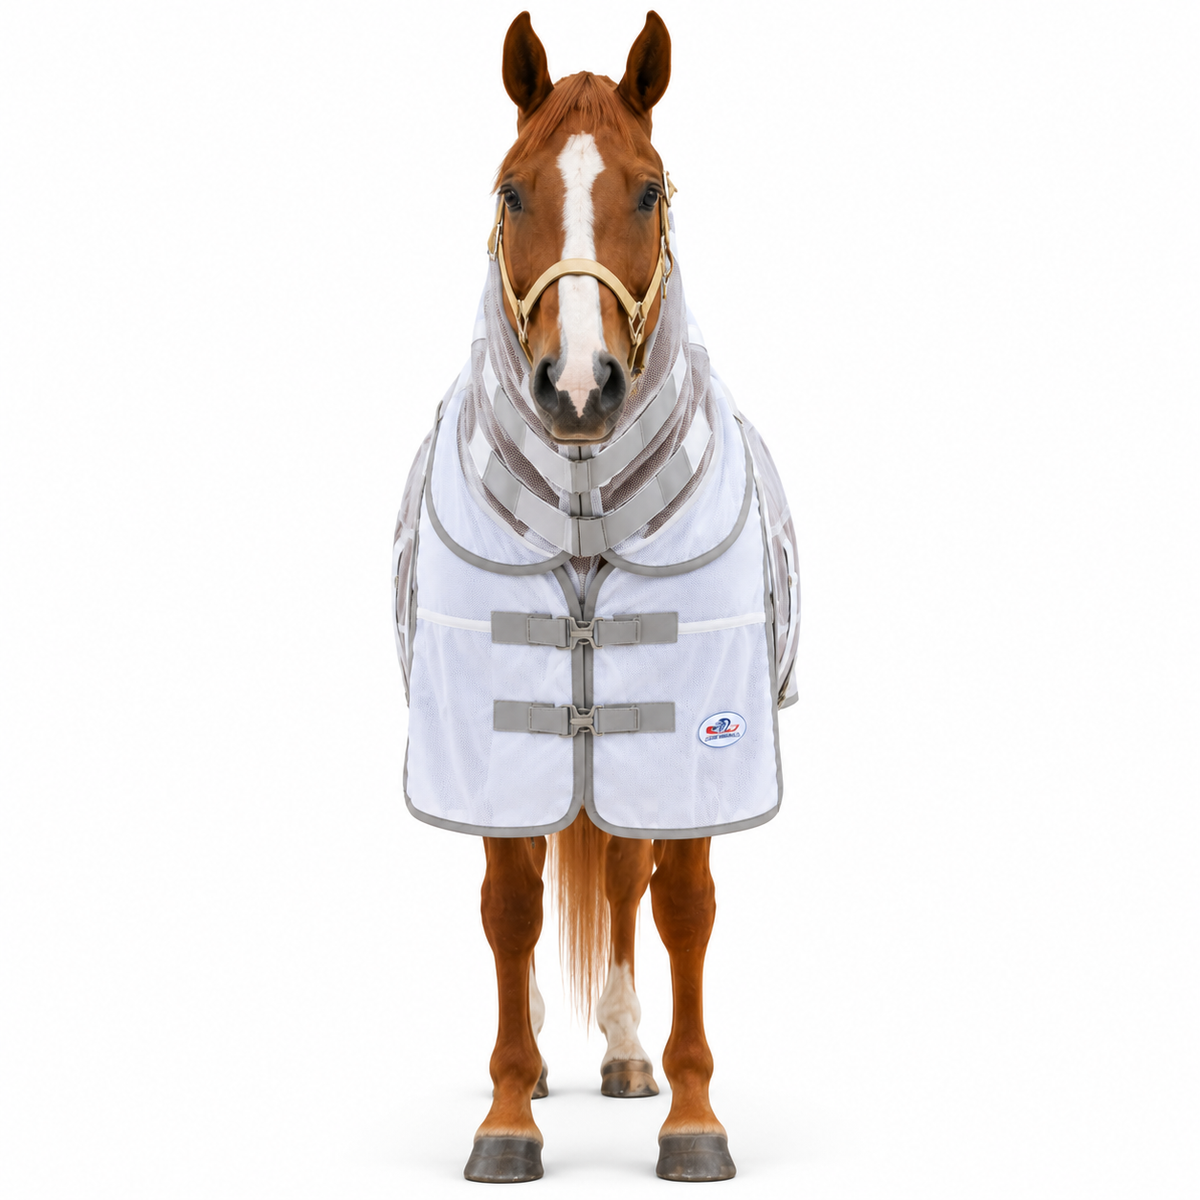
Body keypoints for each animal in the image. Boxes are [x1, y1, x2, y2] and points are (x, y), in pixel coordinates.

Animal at [393, 10, 800, 1184]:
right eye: (511, 190)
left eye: (651, 190)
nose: (579, 389)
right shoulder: (486, 734)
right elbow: (511, 908)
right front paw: (507, 1114)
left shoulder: (697, 734)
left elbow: (682, 907)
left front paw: (694, 1120)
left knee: (622, 878)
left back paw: (623, 1053)